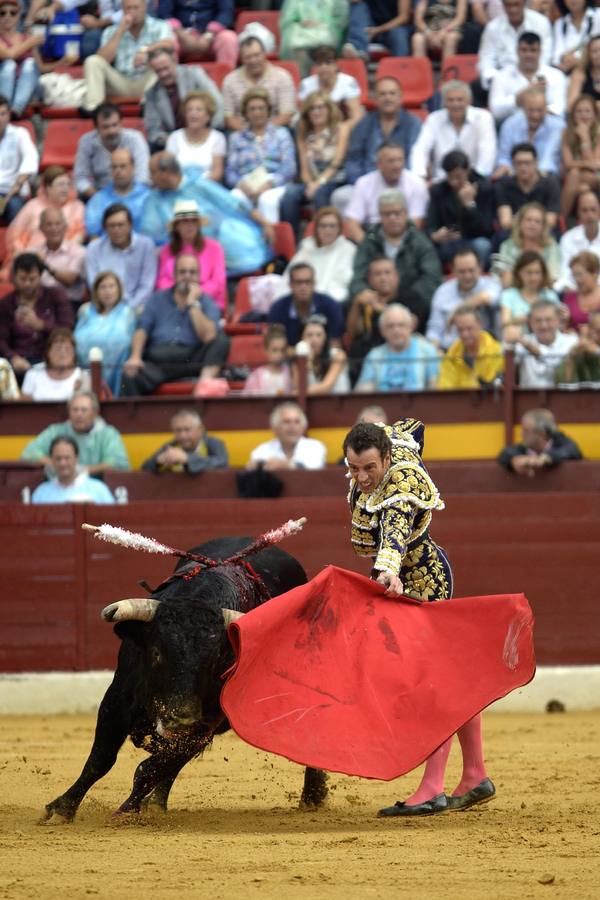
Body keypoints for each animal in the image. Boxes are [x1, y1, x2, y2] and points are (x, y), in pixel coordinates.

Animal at [42, 536, 328, 824]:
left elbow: (148, 769)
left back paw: (312, 797)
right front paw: (62, 809)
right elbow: (101, 758)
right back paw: (157, 803)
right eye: (156, 652)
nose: (180, 718)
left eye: (214, 659)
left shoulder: (205, 723)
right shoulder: (117, 700)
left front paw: (127, 811)